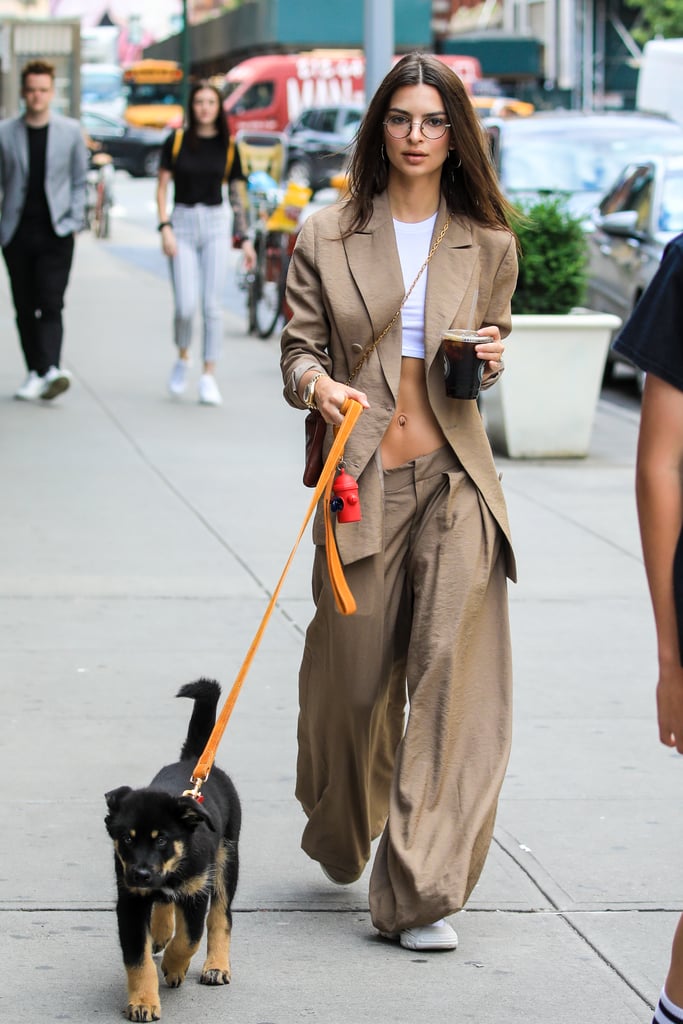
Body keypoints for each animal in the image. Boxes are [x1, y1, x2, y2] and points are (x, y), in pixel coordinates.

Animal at [101, 675, 240, 1019]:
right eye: (127, 839)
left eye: (161, 839)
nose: (140, 874)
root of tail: (193, 760)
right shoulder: (130, 901)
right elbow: (138, 960)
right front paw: (143, 1002)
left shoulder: (196, 891)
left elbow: (189, 938)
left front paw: (175, 967)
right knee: (166, 904)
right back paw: (162, 930)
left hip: (226, 858)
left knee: (220, 916)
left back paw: (216, 966)